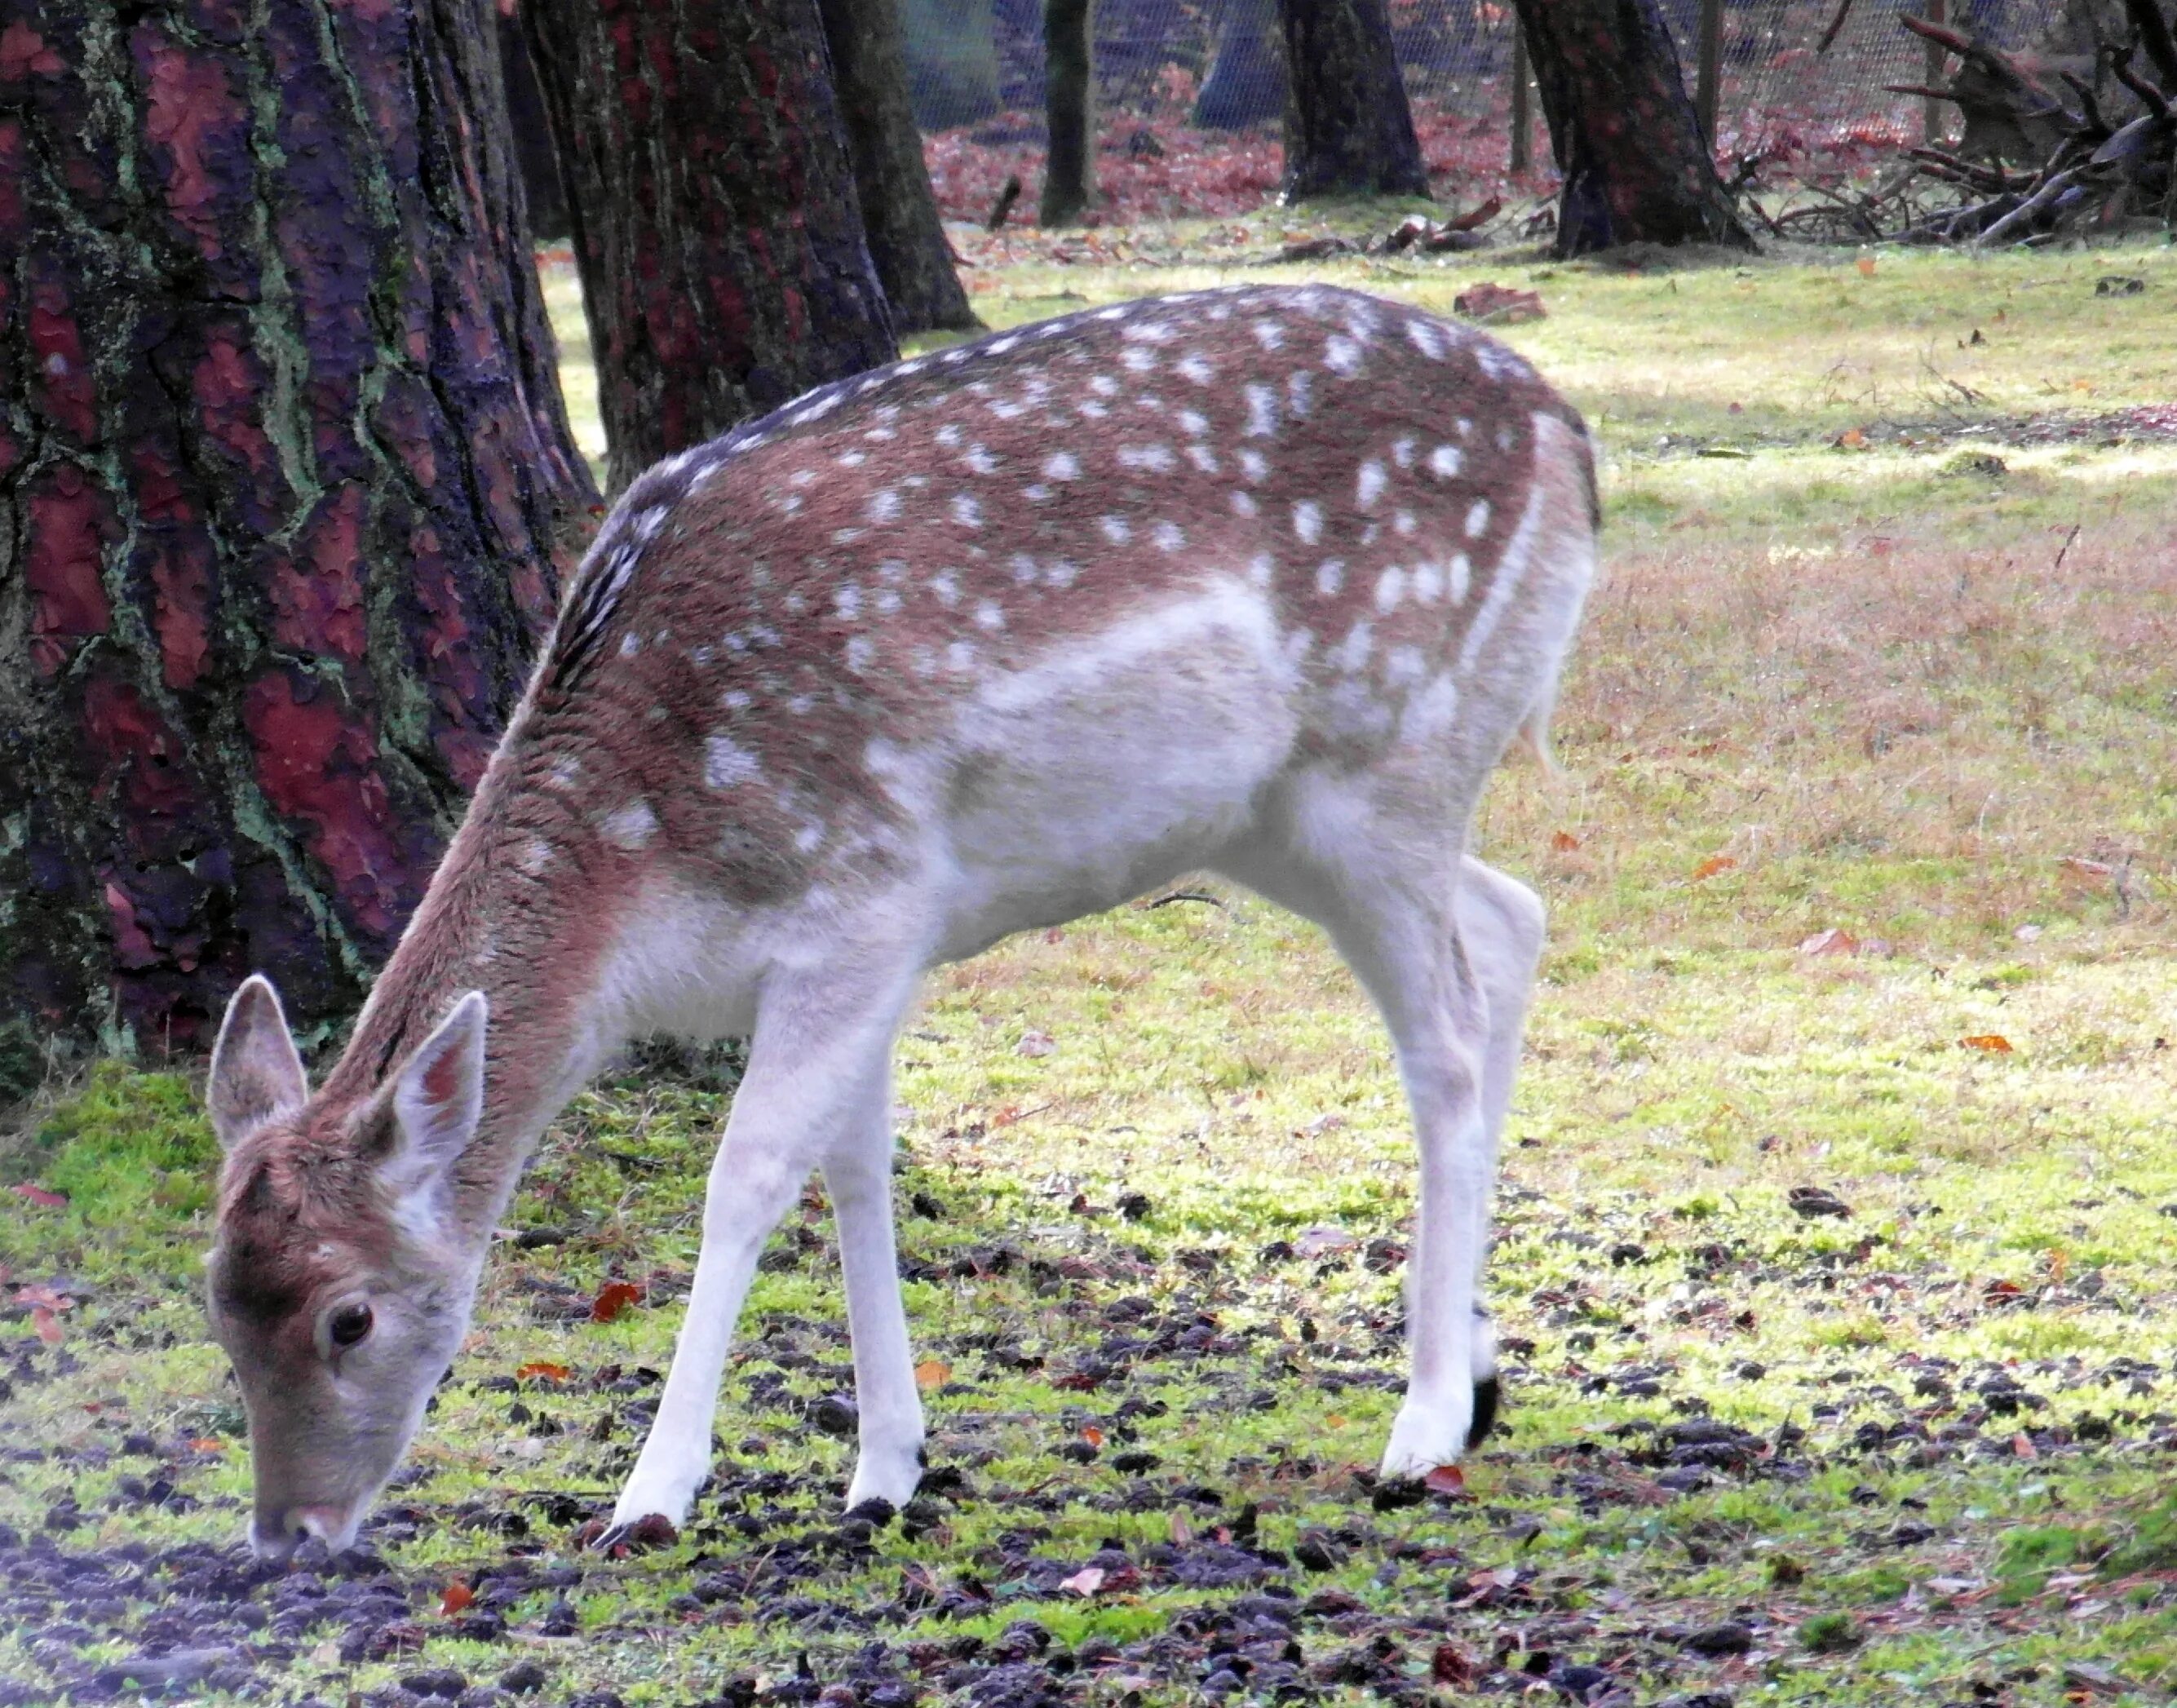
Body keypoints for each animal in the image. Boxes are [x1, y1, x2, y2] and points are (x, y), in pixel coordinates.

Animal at [204, 282, 1602, 1557]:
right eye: (216, 1304)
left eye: (348, 1315)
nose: (287, 1534)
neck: (648, 886)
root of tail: (1568, 435)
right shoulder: (867, 948)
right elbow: (857, 1168)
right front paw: (885, 1467)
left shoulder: (857, 896)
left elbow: (748, 1178)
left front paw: (651, 1495)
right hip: (1284, 820)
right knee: (1513, 918)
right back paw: (1479, 1367)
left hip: (1386, 757)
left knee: (1446, 1037)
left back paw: (1421, 1426)